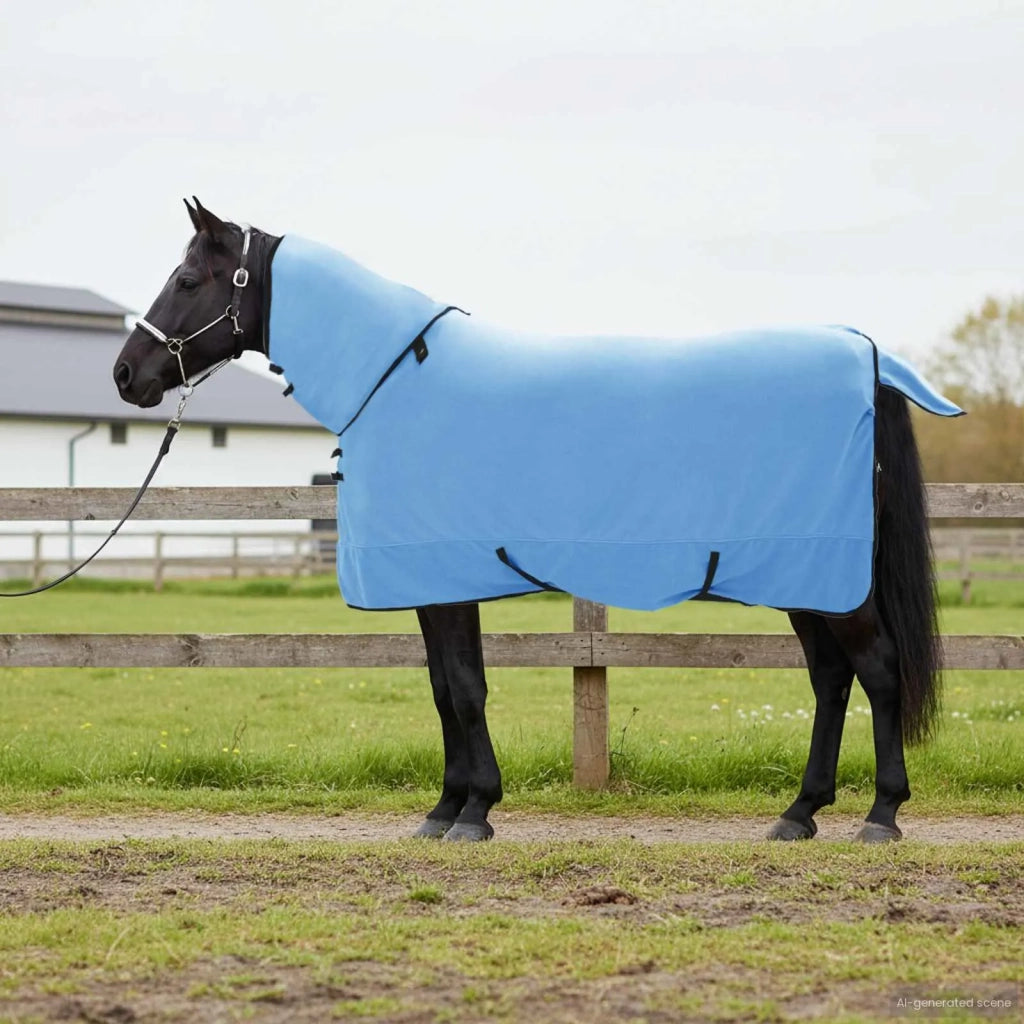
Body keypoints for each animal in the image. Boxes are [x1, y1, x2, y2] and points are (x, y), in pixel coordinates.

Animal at [113, 198, 954, 843]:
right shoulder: (433, 586)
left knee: (878, 672)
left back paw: (880, 816)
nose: (126, 374)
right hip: (804, 578)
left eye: (187, 278)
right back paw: (799, 813)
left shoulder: (448, 582)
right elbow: (444, 689)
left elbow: (464, 689)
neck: (395, 379)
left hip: (829, 578)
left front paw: (474, 811)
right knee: (832, 680)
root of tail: (866, 360)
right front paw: (446, 808)